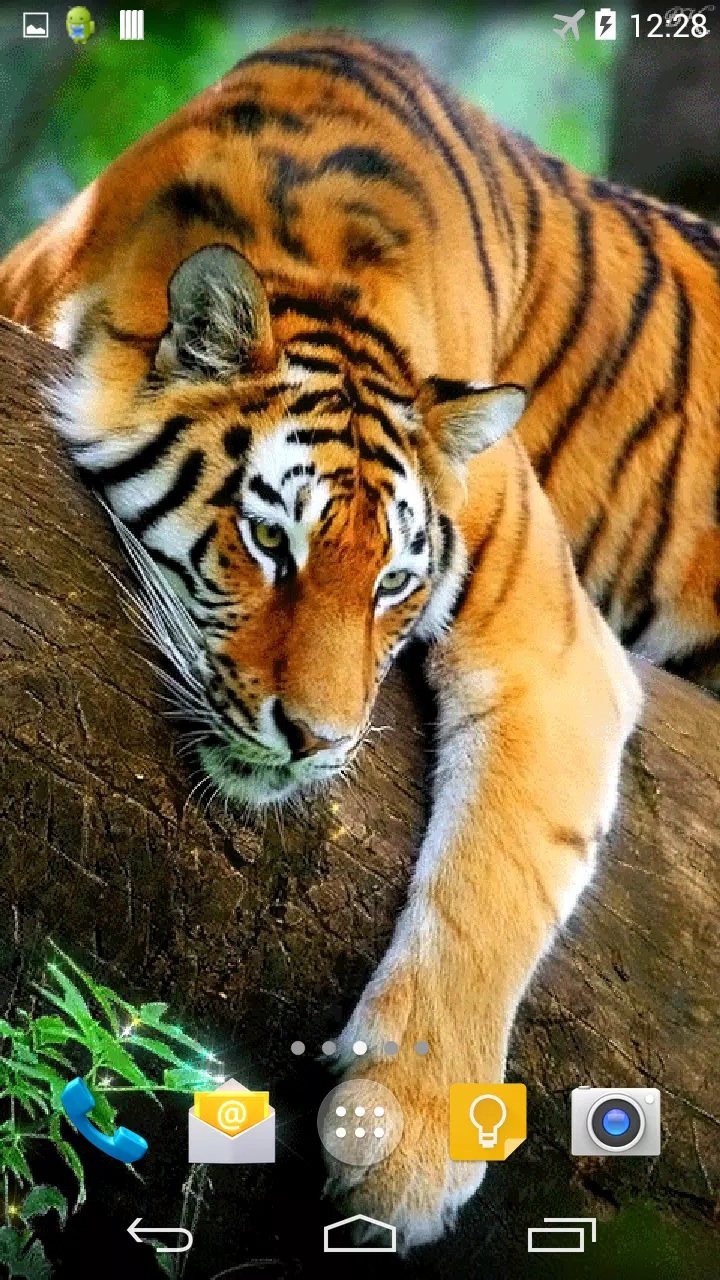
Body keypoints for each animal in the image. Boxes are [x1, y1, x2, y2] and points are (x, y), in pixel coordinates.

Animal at [1, 28, 717, 1251]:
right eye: (268, 542)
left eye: (392, 584)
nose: (316, 740)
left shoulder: (552, 645)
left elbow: (493, 878)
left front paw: (411, 1136)